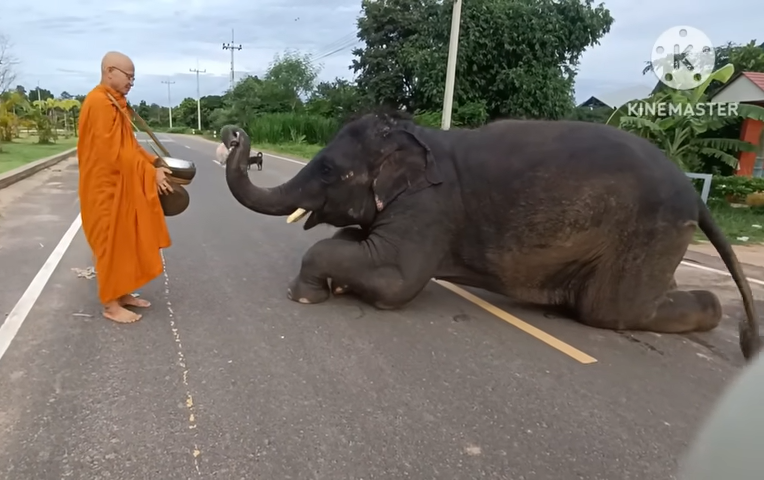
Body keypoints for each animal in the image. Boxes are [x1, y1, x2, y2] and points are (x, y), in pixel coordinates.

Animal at [218, 111, 760, 360]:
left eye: (329, 170)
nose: (233, 133)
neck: (412, 137)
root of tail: (695, 195)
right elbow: (358, 245)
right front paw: (340, 284)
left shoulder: (431, 208)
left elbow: (397, 279)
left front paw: (306, 295)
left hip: (650, 229)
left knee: (611, 311)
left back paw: (717, 318)